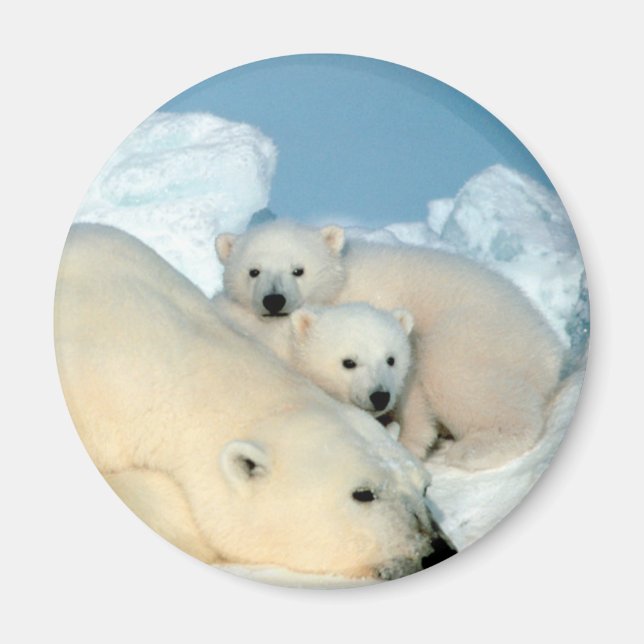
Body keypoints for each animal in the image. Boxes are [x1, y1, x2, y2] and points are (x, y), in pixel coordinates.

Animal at [214, 219, 564, 470]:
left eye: (298, 270)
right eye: (253, 271)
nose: (274, 300)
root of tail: (548, 347)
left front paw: (407, 441)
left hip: (478, 332)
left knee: (458, 375)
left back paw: (475, 449)